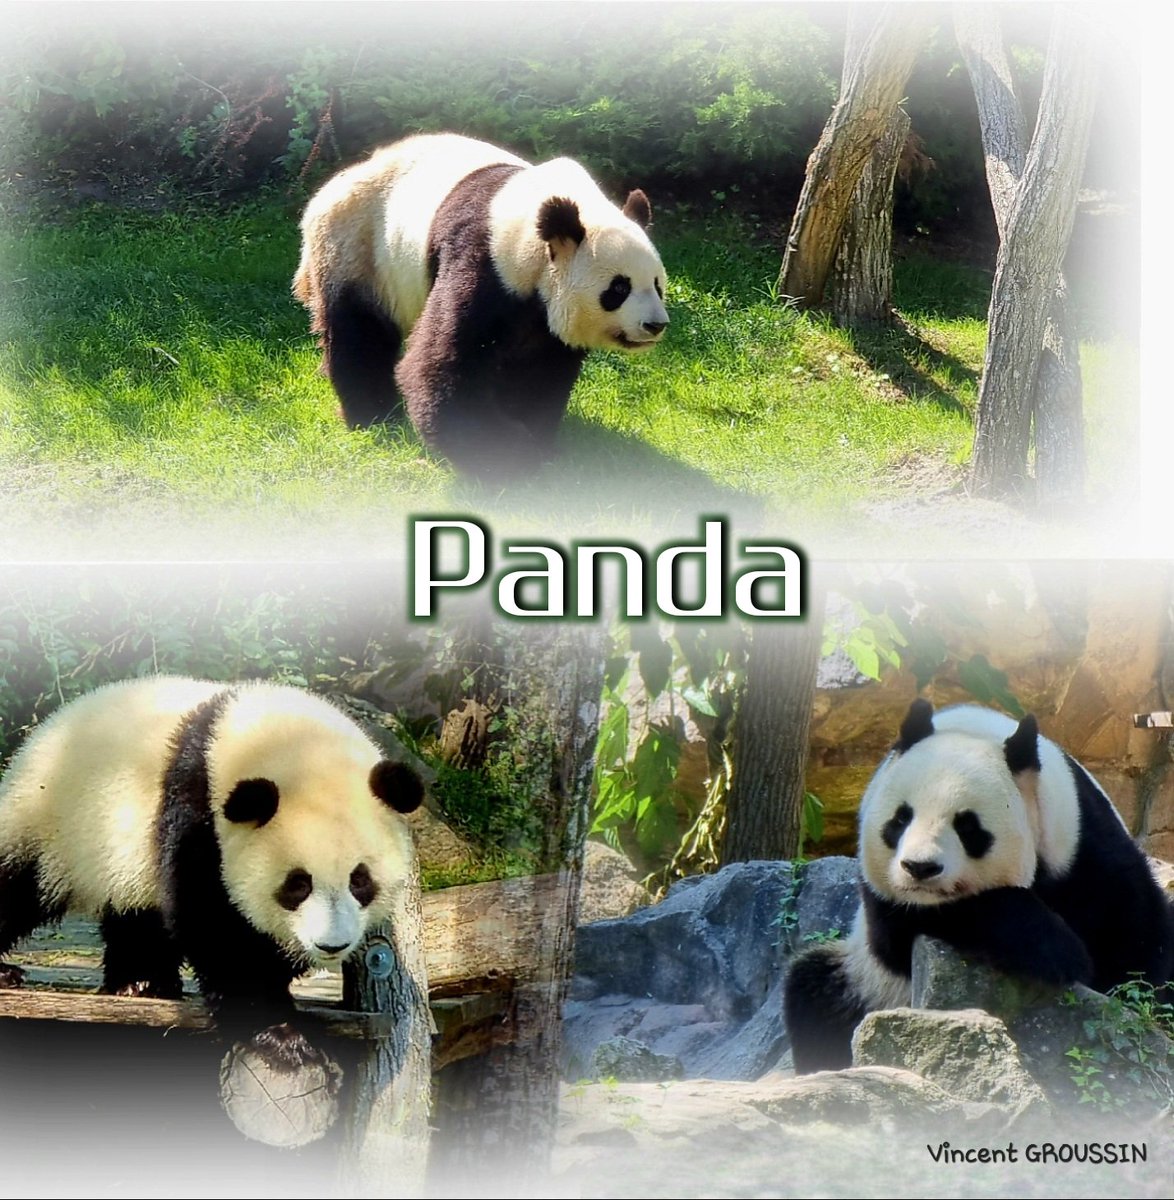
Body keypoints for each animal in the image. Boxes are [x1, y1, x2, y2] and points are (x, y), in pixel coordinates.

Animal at [0, 676, 424, 1066]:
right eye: (297, 885)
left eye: (361, 880)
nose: (331, 945)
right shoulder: (196, 808)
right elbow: (211, 919)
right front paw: (280, 1034)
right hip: (51, 819)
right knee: (16, 885)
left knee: (135, 912)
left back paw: (140, 982)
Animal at [293, 132, 669, 479]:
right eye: (619, 288)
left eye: (658, 286)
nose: (655, 325)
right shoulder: (485, 260)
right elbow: (446, 362)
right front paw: (504, 453)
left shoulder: (544, 314)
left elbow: (542, 370)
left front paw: (533, 438)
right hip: (357, 250)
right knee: (360, 333)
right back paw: (374, 415)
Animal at [784, 699, 1174, 1075]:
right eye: (901, 818)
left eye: (967, 826)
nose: (919, 868)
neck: (972, 731)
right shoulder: (881, 897)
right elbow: (903, 934)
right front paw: (1055, 948)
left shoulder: (1081, 842)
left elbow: (1134, 940)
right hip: (868, 981)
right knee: (817, 996)